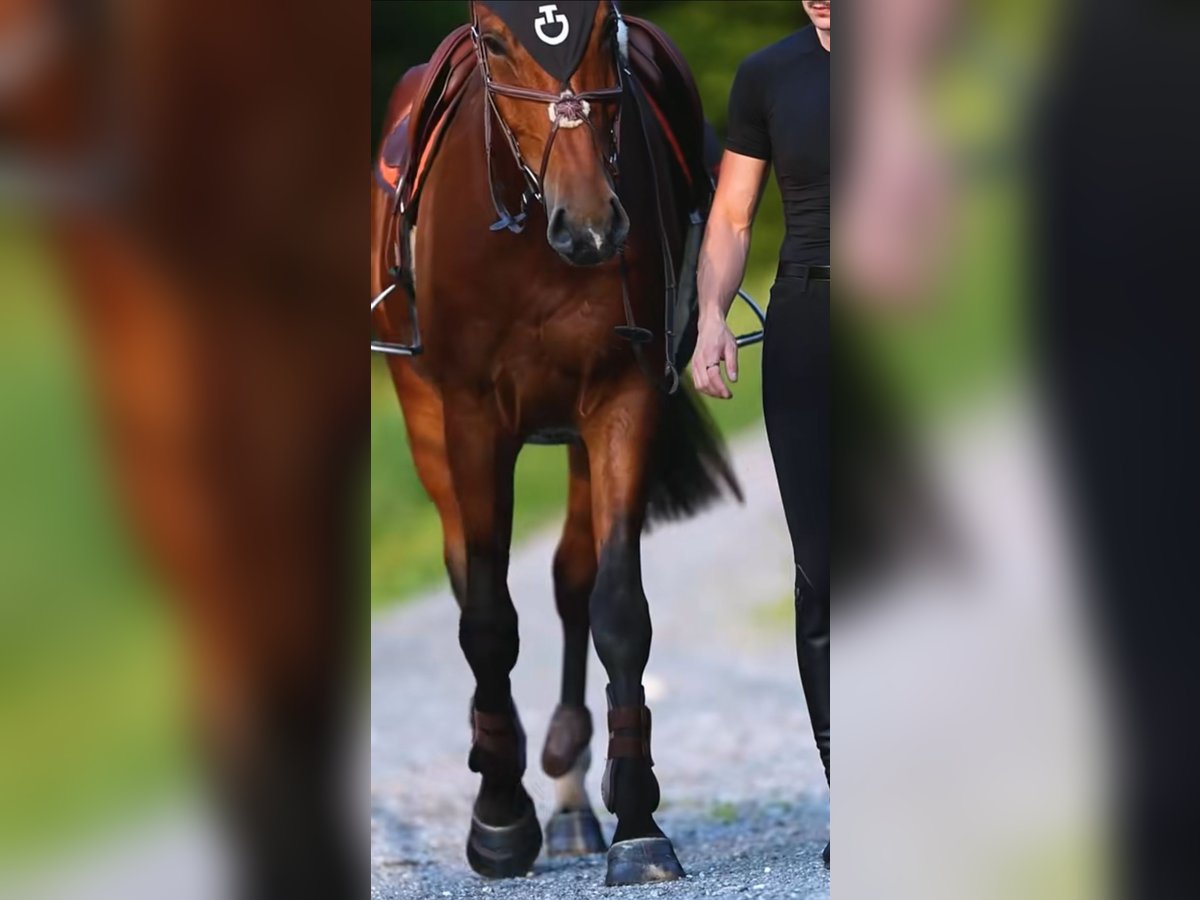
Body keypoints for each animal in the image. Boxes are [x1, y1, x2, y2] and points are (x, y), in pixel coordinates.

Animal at [372, 0, 740, 886]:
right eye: (496, 38)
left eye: (604, 25)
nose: (592, 226)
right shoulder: (470, 418)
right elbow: (485, 618)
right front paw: (499, 819)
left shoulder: (621, 403)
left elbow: (616, 608)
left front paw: (637, 822)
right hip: (429, 425)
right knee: (469, 578)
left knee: (572, 579)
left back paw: (573, 798)